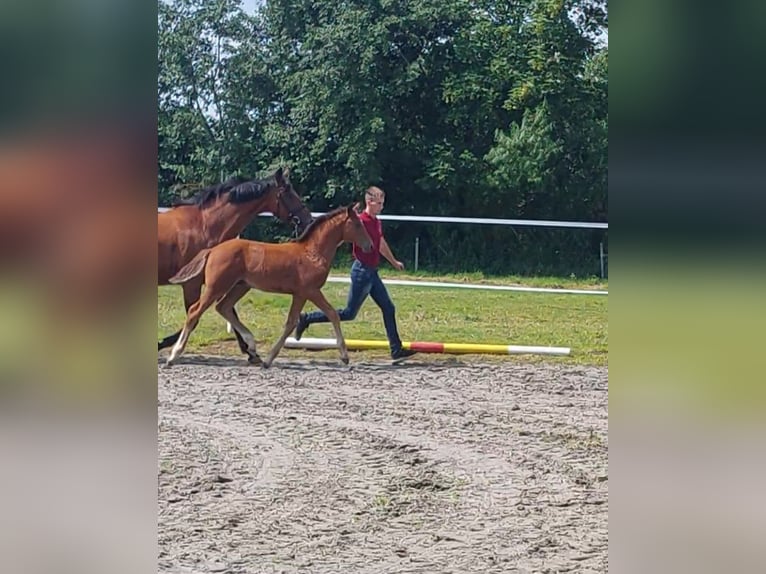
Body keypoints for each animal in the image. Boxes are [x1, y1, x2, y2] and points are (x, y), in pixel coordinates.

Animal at [158, 168, 314, 352]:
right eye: (287, 192)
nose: (309, 220)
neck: (203, 226)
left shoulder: (224, 281)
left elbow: (229, 312)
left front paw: (248, 350)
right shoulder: (192, 284)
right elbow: (195, 317)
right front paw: (162, 344)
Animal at [166, 206, 376, 368]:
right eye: (358, 224)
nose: (370, 246)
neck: (312, 252)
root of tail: (213, 250)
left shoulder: (300, 294)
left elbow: (292, 322)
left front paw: (267, 360)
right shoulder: (309, 291)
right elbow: (330, 314)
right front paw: (345, 356)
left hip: (240, 286)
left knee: (223, 307)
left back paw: (252, 347)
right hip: (216, 286)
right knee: (195, 311)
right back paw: (173, 356)